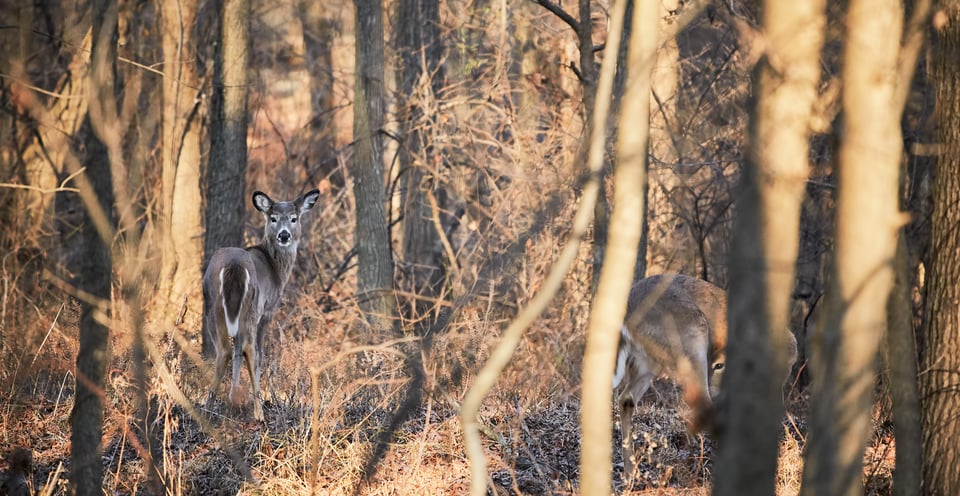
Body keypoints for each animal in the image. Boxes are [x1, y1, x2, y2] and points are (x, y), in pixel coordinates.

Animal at [203, 188, 320, 420]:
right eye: (273, 218)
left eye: (293, 218)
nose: (284, 235)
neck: (276, 269)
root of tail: (234, 266)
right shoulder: (268, 311)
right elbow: (259, 353)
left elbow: (238, 350)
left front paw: (234, 396)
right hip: (251, 305)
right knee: (248, 349)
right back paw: (258, 412)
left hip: (213, 305)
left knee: (226, 349)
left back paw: (208, 406)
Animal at [612, 274, 800, 474]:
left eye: (719, 366)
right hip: (691, 338)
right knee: (701, 400)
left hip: (648, 361)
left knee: (626, 398)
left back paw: (630, 470)